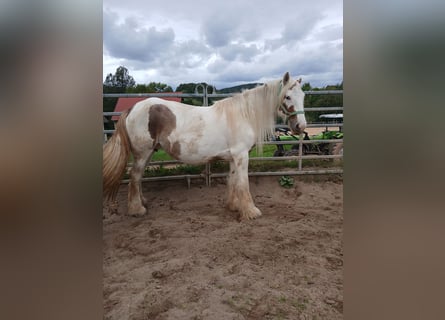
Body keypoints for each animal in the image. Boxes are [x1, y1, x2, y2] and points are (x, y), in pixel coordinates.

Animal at [103, 72, 306, 220]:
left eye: (303, 96)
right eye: (287, 96)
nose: (300, 126)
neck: (243, 115)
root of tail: (132, 108)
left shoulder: (233, 157)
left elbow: (232, 181)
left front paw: (234, 206)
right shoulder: (241, 155)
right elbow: (243, 183)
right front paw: (251, 212)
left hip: (149, 153)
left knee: (138, 177)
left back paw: (142, 202)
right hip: (142, 153)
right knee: (134, 176)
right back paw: (137, 209)